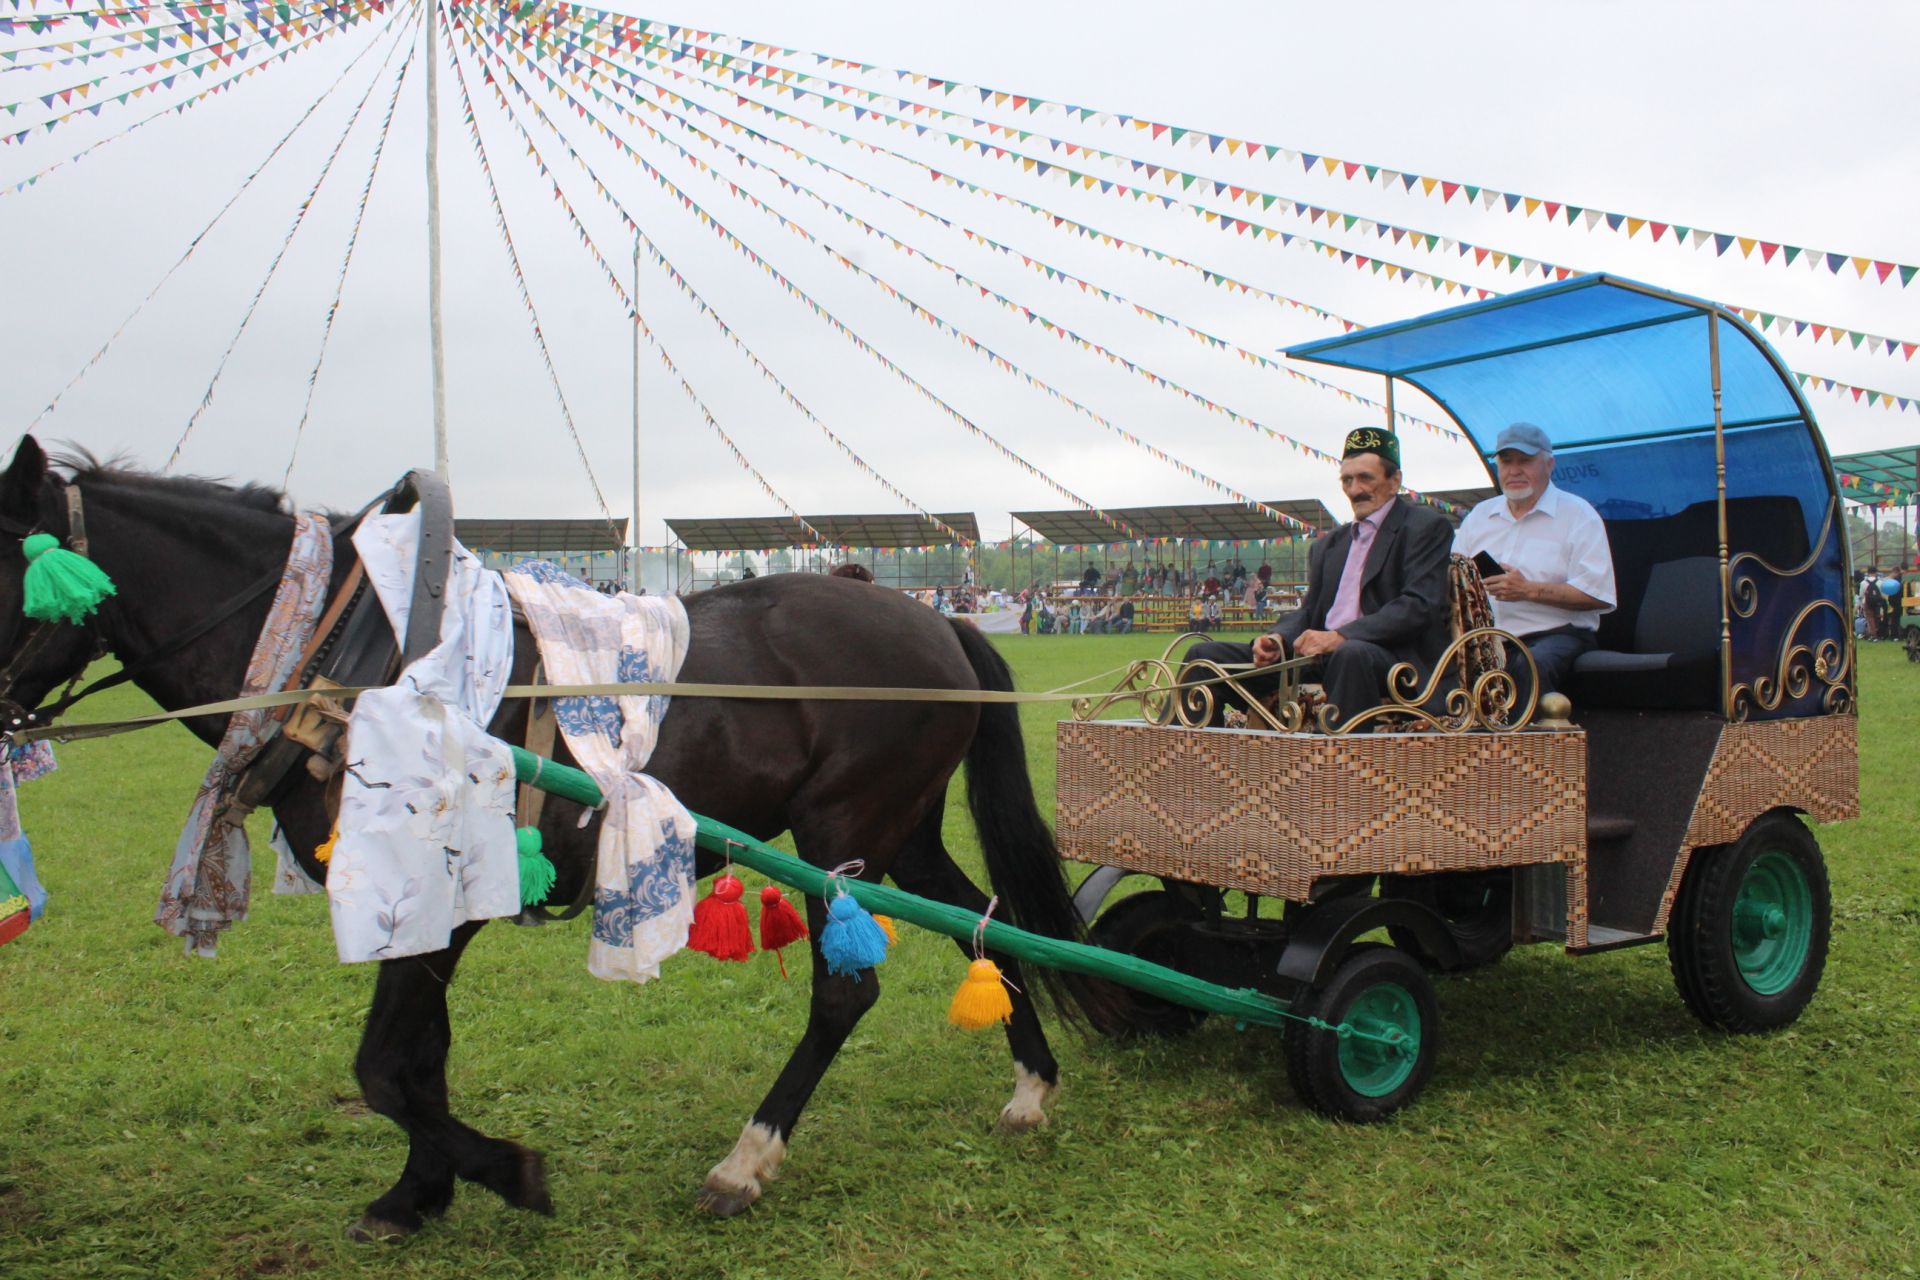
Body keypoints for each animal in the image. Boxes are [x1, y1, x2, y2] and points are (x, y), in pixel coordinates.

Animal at [0, 437, 1121, 1243]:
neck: (352, 656)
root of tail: (930, 620)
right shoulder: (432, 902)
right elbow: (420, 1058)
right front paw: (418, 1191)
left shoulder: (434, 888)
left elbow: (385, 1066)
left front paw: (501, 1171)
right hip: (900, 829)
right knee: (991, 928)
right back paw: (1031, 1086)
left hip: (842, 829)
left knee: (847, 993)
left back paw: (745, 1160)